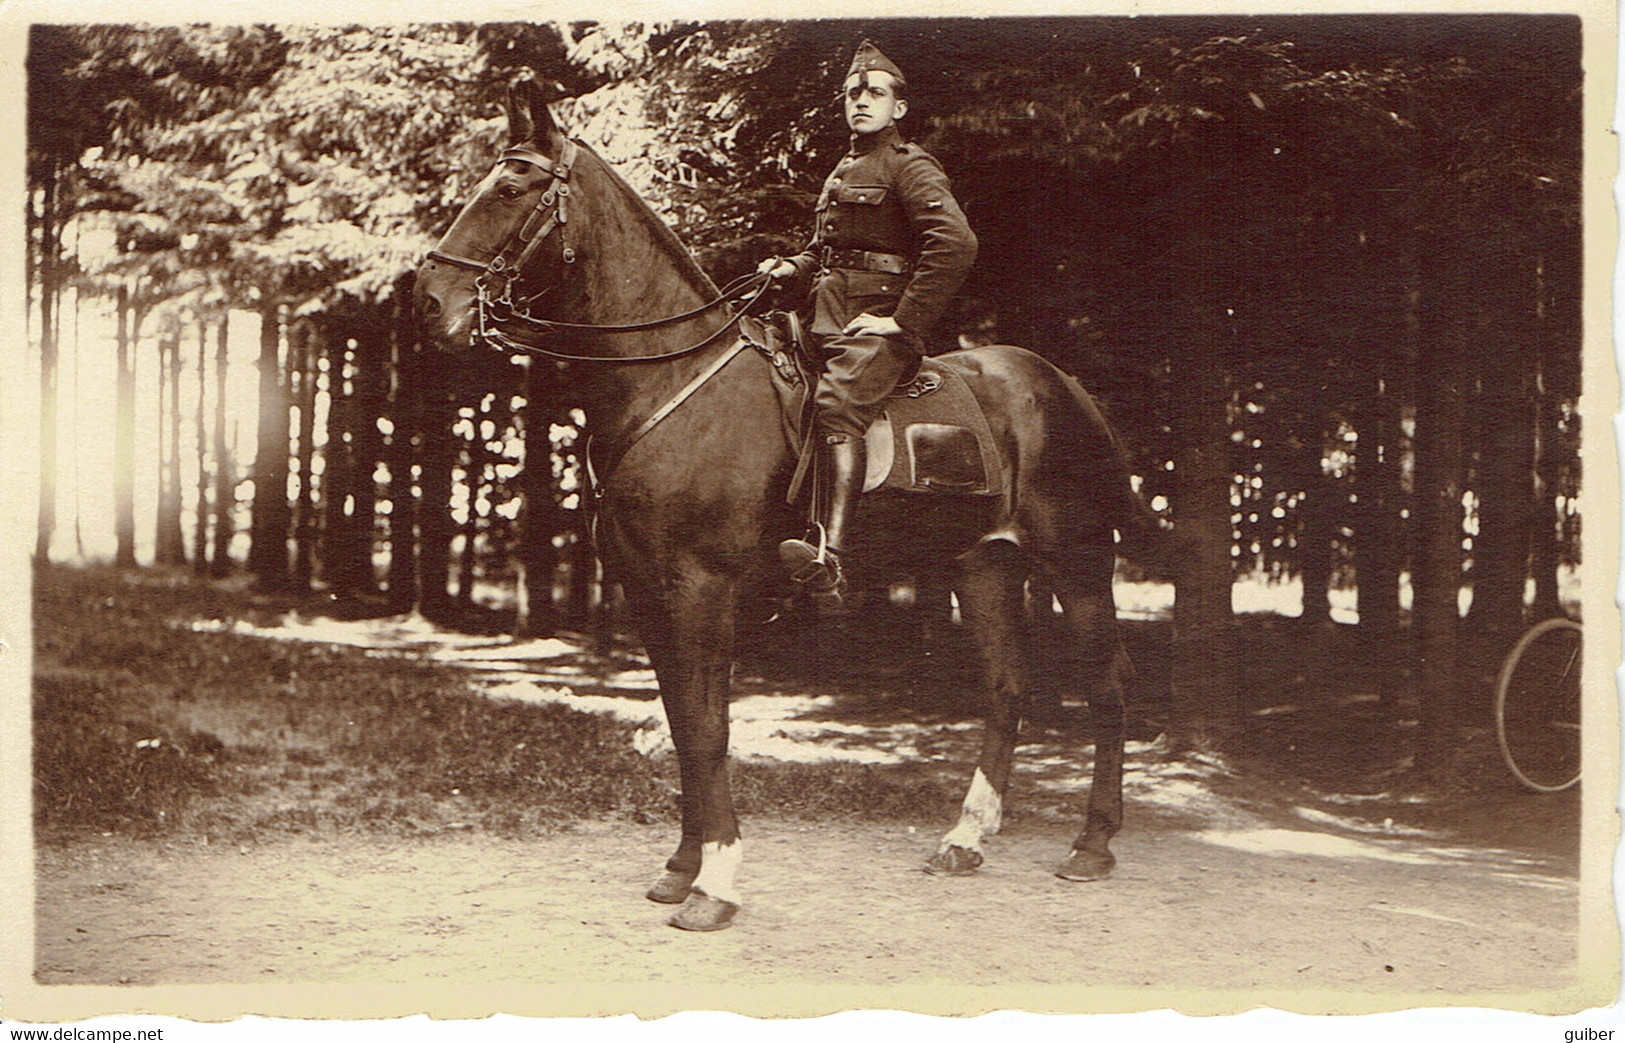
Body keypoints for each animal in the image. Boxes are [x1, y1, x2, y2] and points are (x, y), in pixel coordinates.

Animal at [419, 87, 1157, 935]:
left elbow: (707, 727)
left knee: (1109, 684)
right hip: (983, 567)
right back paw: (964, 838)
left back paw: (1091, 844)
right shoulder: (647, 592)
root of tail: (1063, 385)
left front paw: (715, 882)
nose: (427, 300)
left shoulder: (702, 590)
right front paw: (681, 867)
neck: (675, 381)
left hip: (1077, 561)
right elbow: (683, 723)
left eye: (511, 186)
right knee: (1006, 686)